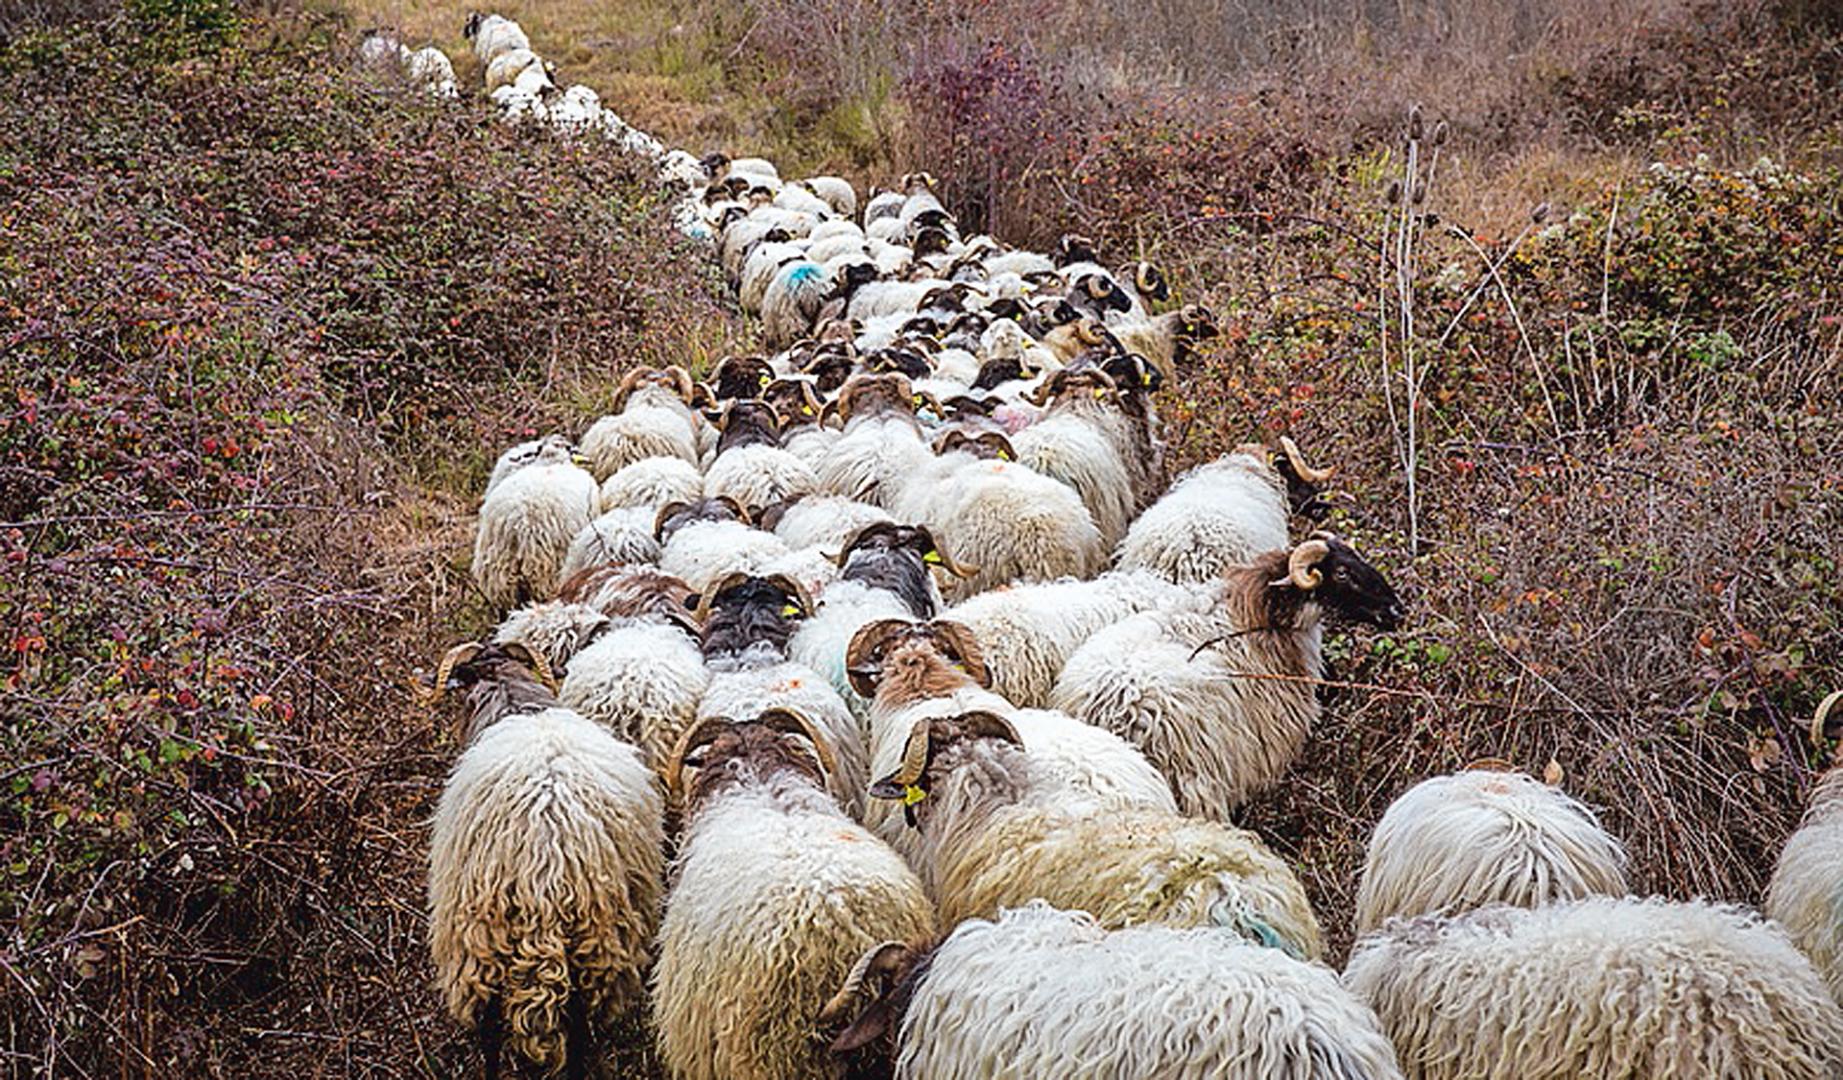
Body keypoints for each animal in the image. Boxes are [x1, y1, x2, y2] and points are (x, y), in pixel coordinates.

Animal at [424, 641, 663, 1080]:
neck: (514, 699)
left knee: (492, 1032)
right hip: (592, 945)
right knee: (579, 1033)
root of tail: (549, 857)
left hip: (481, 937)